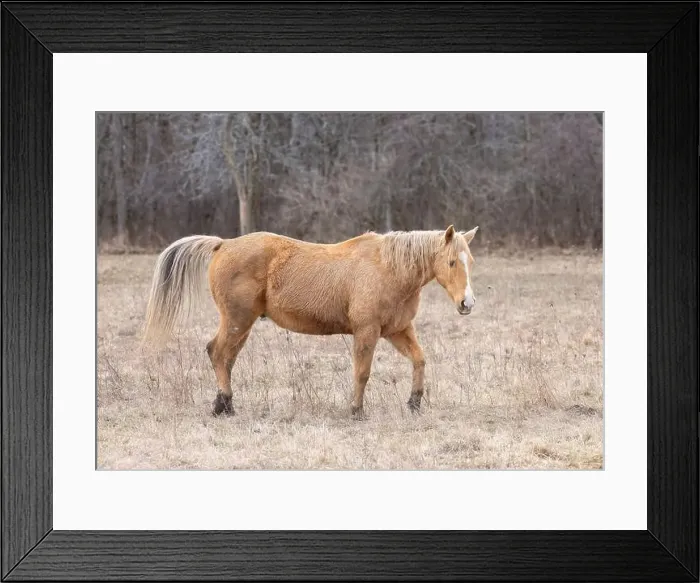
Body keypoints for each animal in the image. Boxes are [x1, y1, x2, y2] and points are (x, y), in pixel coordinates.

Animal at [142, 224, 479, 418]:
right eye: (451, 262)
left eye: (470, 261)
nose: (467, 303)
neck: (388, 268)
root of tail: (223, 244)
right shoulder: (366, 332)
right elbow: (362, 373)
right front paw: (356, 411)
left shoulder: (398, 331)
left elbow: (420, 360)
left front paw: (414, 403)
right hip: (237, 320)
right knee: (217, 353)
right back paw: (223, 405)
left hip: (241, 324)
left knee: (226, 358)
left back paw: (225, 406)